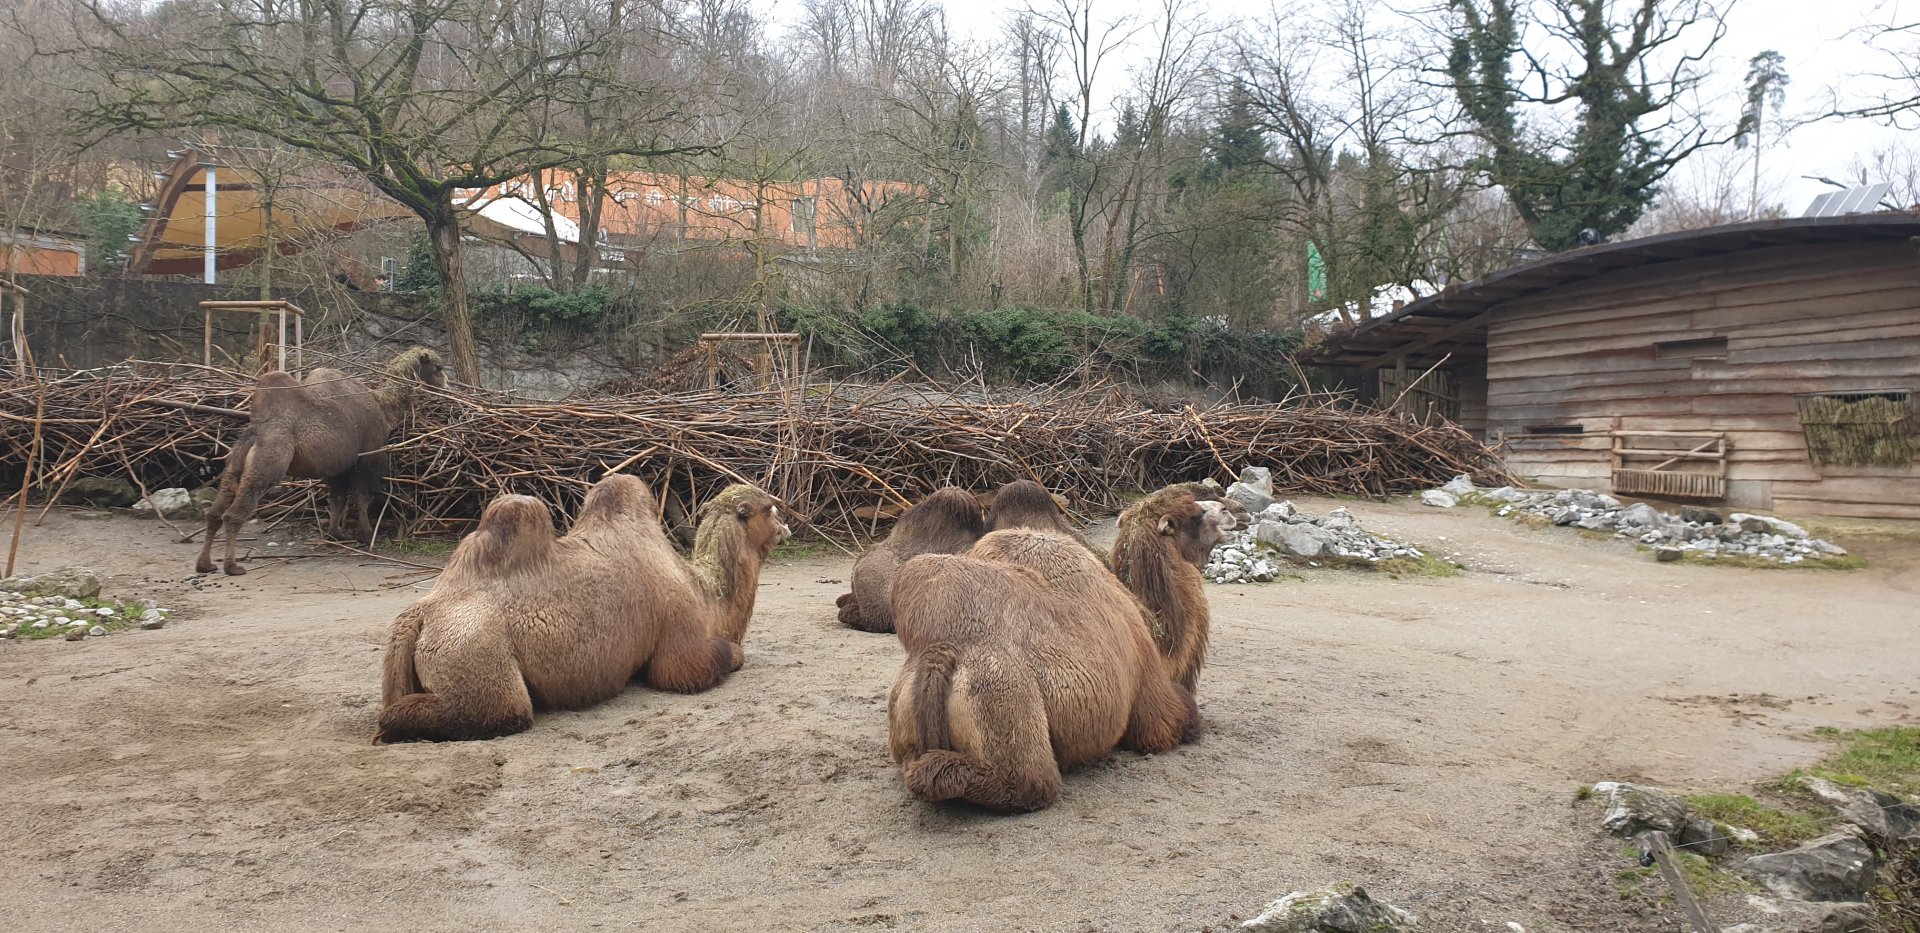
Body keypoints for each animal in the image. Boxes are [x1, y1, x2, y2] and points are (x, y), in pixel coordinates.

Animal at [195, 347, 446, 576]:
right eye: (437, 367)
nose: (446, 385)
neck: (383, 408)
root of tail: (256, 430)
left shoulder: (337, 467)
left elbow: (337, 498)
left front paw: (337, 533)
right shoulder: (368, 456)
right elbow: (362, 497)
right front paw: (365, 535)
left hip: (236, 461)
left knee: (215, 511)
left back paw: (205, 564)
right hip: (269, 460)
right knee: (234, 513)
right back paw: (232, 566)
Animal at [375, 475, 789, 743]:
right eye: (769, 507)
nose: (787, 527)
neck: (704, 593)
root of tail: (419, 615)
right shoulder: (680, 632)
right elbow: (709, 661)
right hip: (474, 651)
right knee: (501, 712)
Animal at [885, 486, 1236, 812]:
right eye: (1194, 515)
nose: (1230, 513)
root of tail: (940, 653)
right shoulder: (1151, 698)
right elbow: (1182, 718)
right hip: (1002, 695)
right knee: (1025, 780)